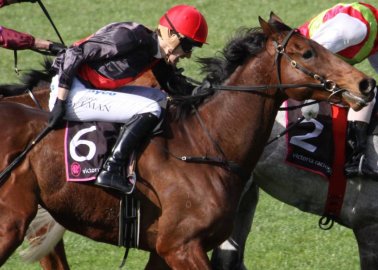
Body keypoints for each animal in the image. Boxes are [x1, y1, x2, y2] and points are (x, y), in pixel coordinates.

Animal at [0, 15, 376, 270]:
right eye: (307, 52)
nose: (365, 84)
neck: (203, 144)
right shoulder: (180, 246)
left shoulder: (166, 249)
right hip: (11, 222)